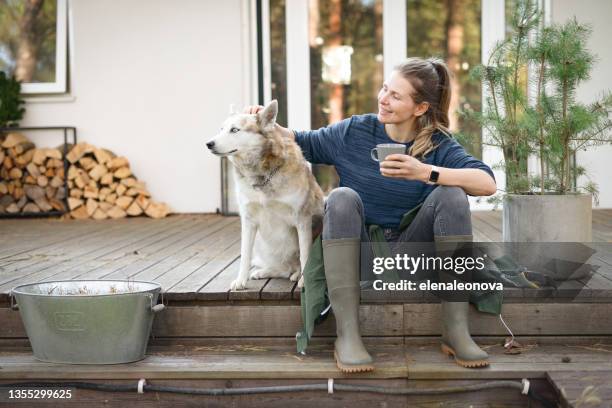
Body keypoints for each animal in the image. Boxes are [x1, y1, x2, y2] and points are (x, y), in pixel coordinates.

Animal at [207, 99, 326, 290]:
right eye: (221, 129)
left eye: (235, 130)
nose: (208, 143)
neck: (262, 175)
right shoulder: (248, 221)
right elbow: (245, 255)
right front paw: (241, 280)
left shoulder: (302, 220)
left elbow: (305, 255)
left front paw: (304, 282)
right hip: (262, 244)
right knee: (283, 268)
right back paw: (265, 272)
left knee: (296, 265)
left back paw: (296, 275)